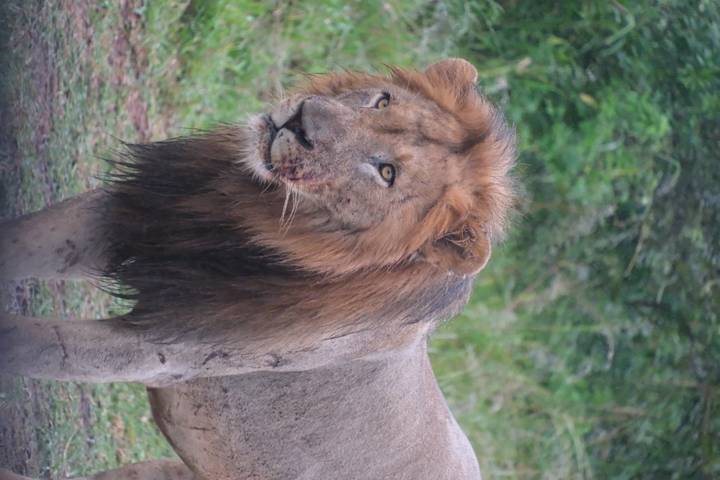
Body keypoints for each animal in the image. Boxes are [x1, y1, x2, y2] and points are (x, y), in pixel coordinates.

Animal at [0, 58, 516, 479]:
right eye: (381, 100)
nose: (302, 121)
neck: (247, 218)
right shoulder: (120, 220)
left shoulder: (164, 351)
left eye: (387, 173)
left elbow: (32, 343)